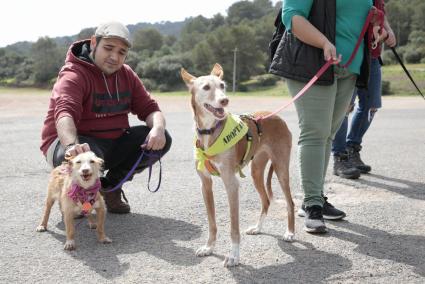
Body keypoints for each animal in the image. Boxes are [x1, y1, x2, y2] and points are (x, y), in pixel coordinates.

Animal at [181, 63, 294, 266]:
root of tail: (275, 116)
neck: (210, 131)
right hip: (256, 171)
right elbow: (211, 223)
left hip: (282, 171)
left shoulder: (231, 184)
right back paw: (258, 228)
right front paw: (209, 247)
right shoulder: (205, 185)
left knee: (291, 202)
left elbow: (234, 227)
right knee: (266, 200)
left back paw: (289, 232)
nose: (225, 100)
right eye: (206, 87)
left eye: (223, 85)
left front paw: (234, 256)